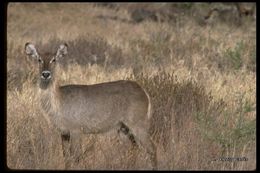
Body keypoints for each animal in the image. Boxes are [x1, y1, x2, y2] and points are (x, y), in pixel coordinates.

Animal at [24, 42, 156, 169]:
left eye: (54, 59)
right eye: (39, 59)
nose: (46, 74)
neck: (59, 101)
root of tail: (144, 92)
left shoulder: (76, 130)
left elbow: (76, 157)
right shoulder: (64, 132)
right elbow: (66, 158)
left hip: (138, 124)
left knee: (152, 149)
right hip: (123, 128)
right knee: (134, 149)